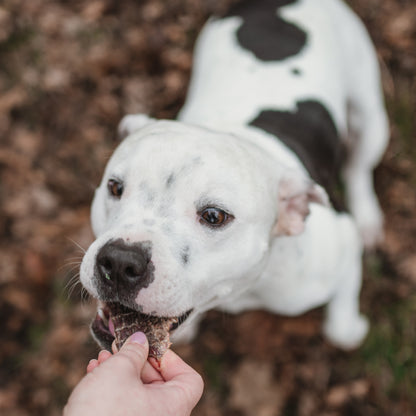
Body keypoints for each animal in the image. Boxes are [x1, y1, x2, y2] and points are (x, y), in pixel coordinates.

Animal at [79, 0, 388, 352]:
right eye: (115, 187)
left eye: (214, 216)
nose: (120, 261)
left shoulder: (344, 249)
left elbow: (340, 331)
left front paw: (354, 328)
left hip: (370, 114)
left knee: (358, 167)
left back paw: (368, 219)